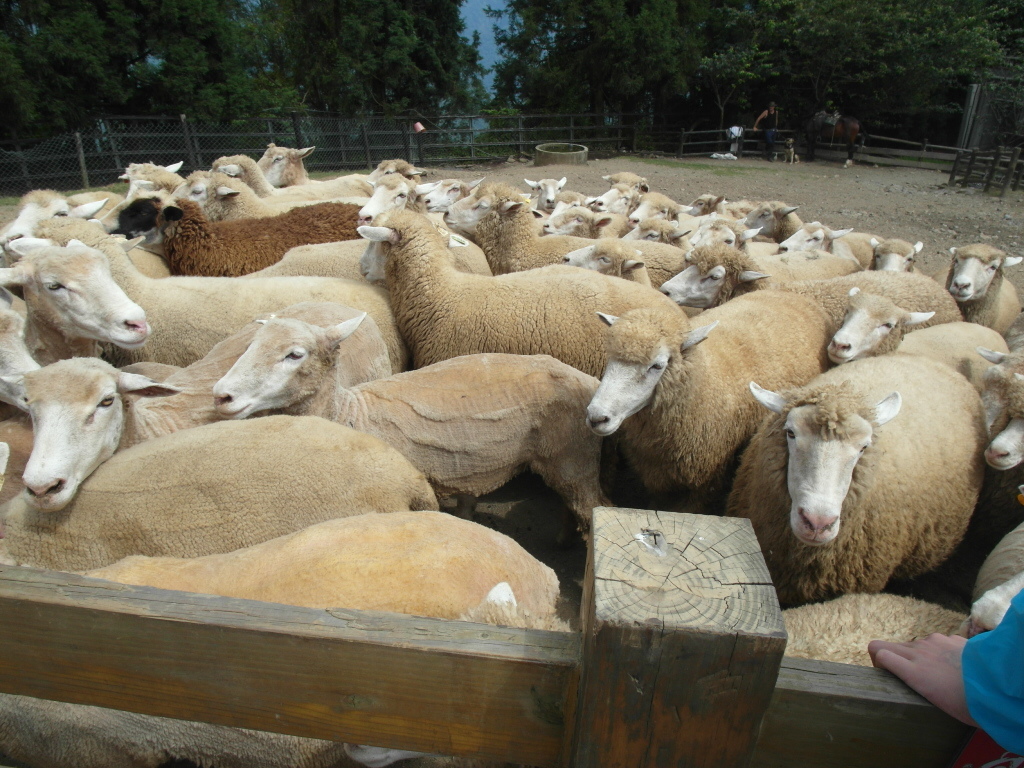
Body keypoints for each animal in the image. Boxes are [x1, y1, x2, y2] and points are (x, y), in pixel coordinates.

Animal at [585, 291, 831, 506]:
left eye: (657, 365)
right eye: (610, 358)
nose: (597, 417)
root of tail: (794, 295)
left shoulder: (704, 482)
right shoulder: (658, 477)